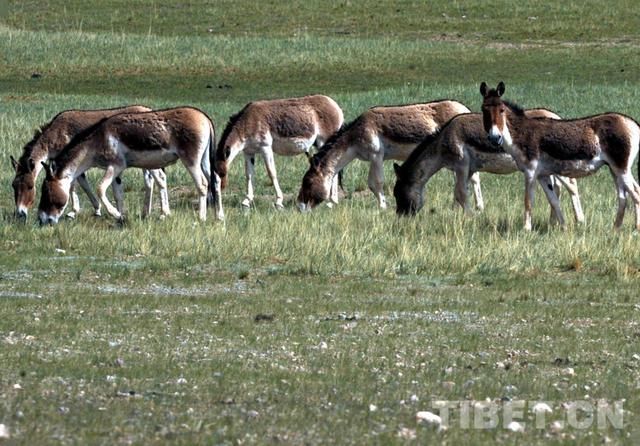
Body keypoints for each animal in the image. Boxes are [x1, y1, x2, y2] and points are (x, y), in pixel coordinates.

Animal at [482, 81, 636, 232]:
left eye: (501, 110)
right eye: (484, 109)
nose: (495, 138)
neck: (522, 133)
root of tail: (631, 123)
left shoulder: (530, 172)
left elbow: (528, 200)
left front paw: (526, 230)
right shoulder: (542, 175)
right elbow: (554, 201)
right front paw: (564, 227)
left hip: (621, 168)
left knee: (635, 192)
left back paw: (636, 228)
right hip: (614, 169)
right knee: (623, 197)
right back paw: (615, 229)